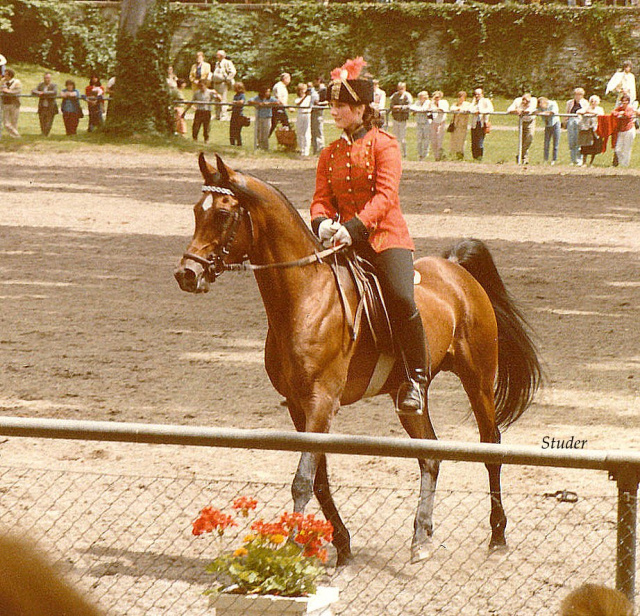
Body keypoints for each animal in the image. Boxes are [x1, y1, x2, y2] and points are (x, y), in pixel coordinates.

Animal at [174, 153, 540, 564]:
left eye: (222, 213)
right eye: (196, 210)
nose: (186, 273)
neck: (305, 296)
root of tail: (454, 268)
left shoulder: (322, 402)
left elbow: (303, 481)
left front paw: (292, 551)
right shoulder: (299, 406)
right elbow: (319, 480)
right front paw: (343, 545)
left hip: (477, 379)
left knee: (491, 445)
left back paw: (497, 536)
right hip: (407, 396)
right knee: (430, 455)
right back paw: (421, 537)